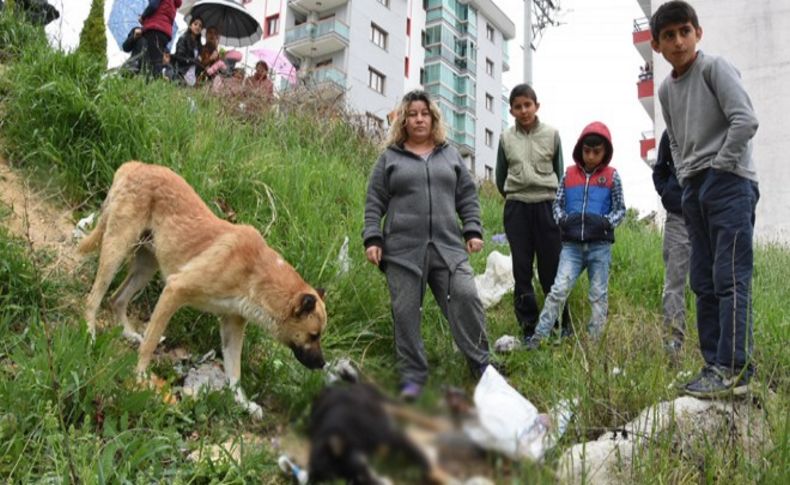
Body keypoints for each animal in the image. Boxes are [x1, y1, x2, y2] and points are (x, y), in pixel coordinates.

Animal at [80, 162, 328, 416]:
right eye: (314, 335)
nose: (322, 364)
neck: (256, 275)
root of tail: (136, 165)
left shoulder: (232, 326)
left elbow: (234, 374)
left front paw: (243, 403)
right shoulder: (174, 290)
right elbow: (151, 344)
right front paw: (141, 377)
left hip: (145, 267)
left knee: (116, 299)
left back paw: (128, 332)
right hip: (116, 249)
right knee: (93, 299)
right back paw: (89, 333)